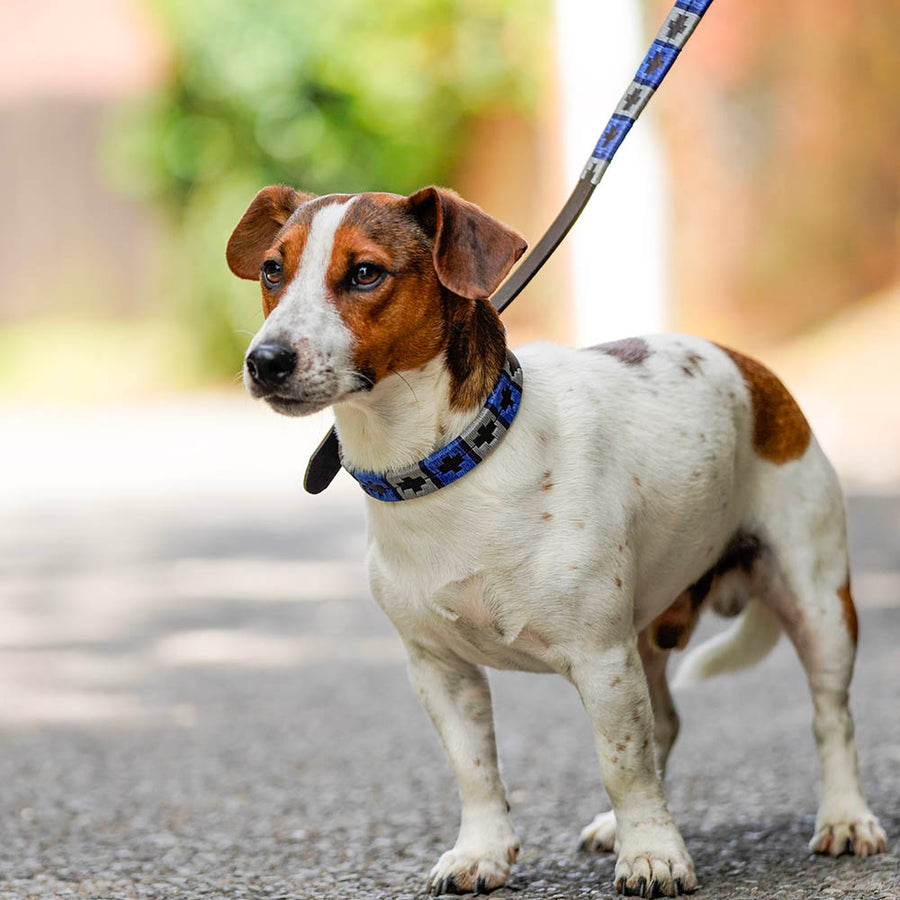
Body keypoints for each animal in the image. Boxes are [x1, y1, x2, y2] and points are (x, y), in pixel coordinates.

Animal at [225, 186, 884, 896]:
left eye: (366, 273)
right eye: (272, 269)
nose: (265, 362)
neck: (453, 462)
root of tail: (754, 369)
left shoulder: (601, 659)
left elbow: (623, 764)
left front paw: (653, 854)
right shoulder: (440, 668)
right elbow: (475, 771)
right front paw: (483, 852)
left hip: (818, 606)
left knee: (831, 717)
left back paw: (845, 818)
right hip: (648, 633)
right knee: (668, 721)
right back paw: (614, 826)